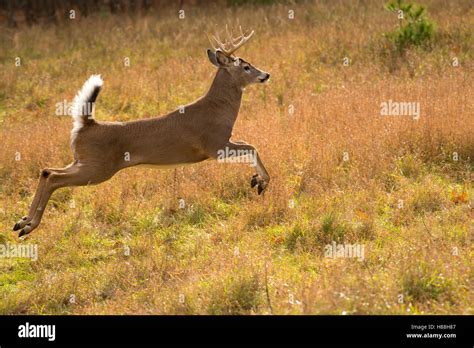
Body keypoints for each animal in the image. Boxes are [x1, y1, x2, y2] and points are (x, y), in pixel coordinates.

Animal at [12, 27, 270, 237]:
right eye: (246, 66)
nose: (265, 74)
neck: (217, 109)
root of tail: (86, 124)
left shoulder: (221, 143)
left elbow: (249, 145)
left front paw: (256, 180)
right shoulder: (214, 145)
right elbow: (252, 146)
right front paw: (261, 182)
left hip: (82, 161)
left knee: (47, 171)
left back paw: (21, 222)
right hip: (97, 168)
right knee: (55, 177)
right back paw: (28, 226)